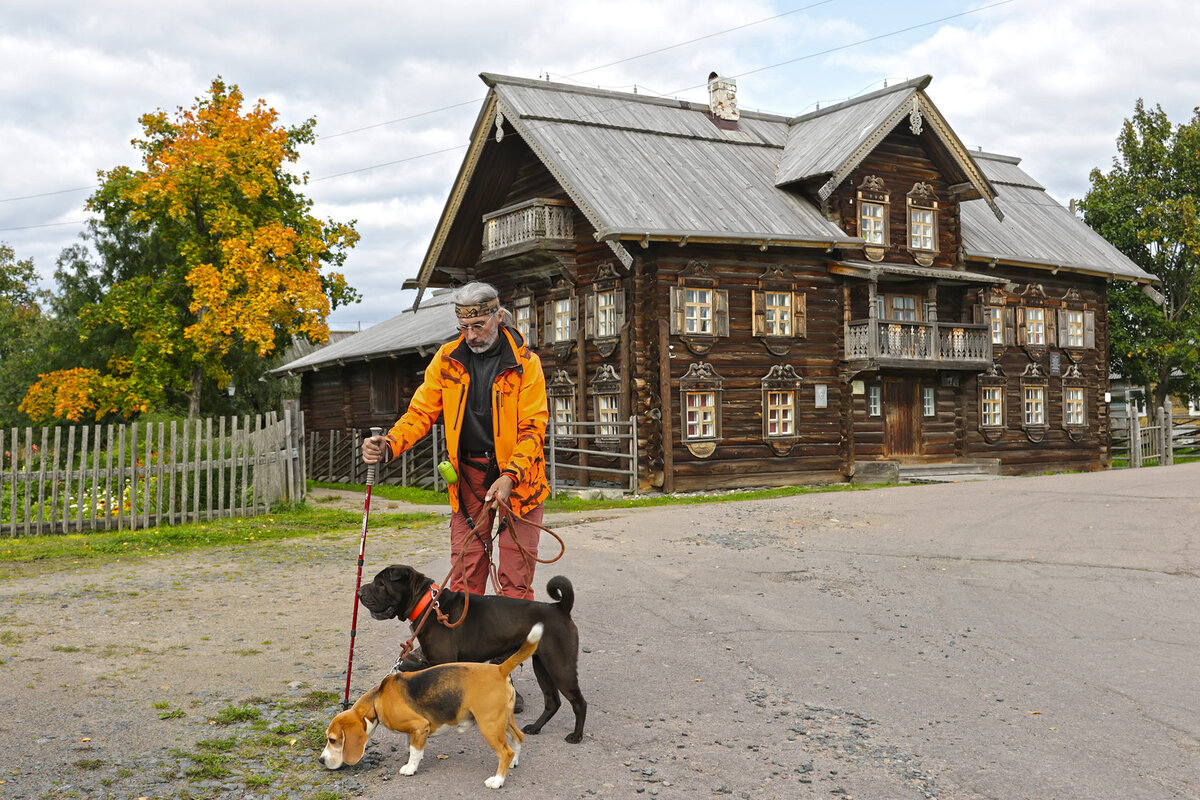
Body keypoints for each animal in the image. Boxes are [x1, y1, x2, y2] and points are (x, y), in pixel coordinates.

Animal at [357, 563, 588, 743]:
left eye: (380, 584)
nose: (359, 592)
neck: (429, 604)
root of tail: (560, 608)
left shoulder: (443, 661)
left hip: (560, 666)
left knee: (579, 702)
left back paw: (576, 736)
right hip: (542, 666)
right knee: (552, 702)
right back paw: (536, 727)